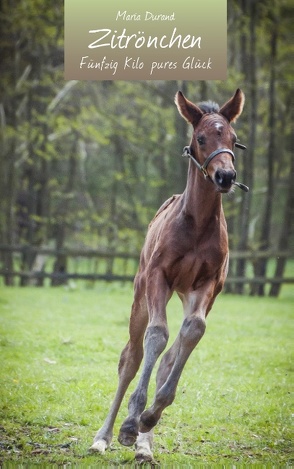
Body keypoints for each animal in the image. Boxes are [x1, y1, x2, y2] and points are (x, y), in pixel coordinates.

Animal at [91, 88, 246, 460]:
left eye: (233, 138)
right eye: (201, 138)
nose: (225, 177)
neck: (197, 224)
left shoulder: (207, 286)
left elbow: (191, 332)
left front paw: (147, 418)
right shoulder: (158, 278)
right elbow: (156, 336)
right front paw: (129, 424)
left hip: (187, 293)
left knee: (170, 354)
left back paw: (145, 444)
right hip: (140, 295)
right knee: (131, 357)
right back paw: (104, 436)